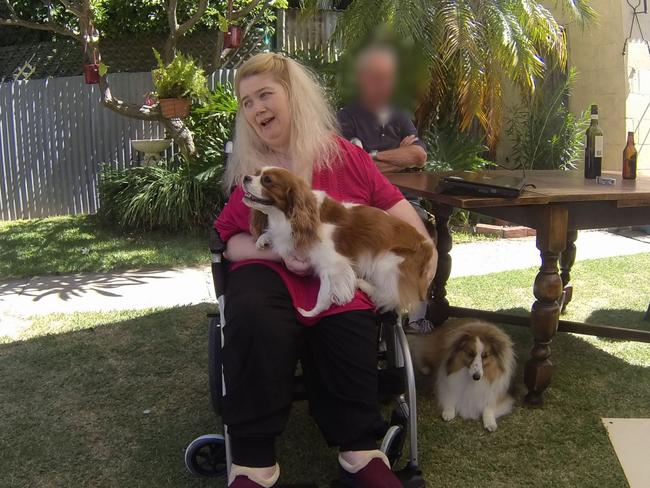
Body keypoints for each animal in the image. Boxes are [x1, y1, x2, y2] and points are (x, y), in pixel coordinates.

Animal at [240, 166, 432, 318]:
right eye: (256, 173)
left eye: (267, 180)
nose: (245, 177)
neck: (289, 217)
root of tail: (427, 246)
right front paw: (264, 238)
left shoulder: (332, 265)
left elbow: (323, 294)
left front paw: (311, 313)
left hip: (388, 262)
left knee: (391, 296)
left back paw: (364, 285)